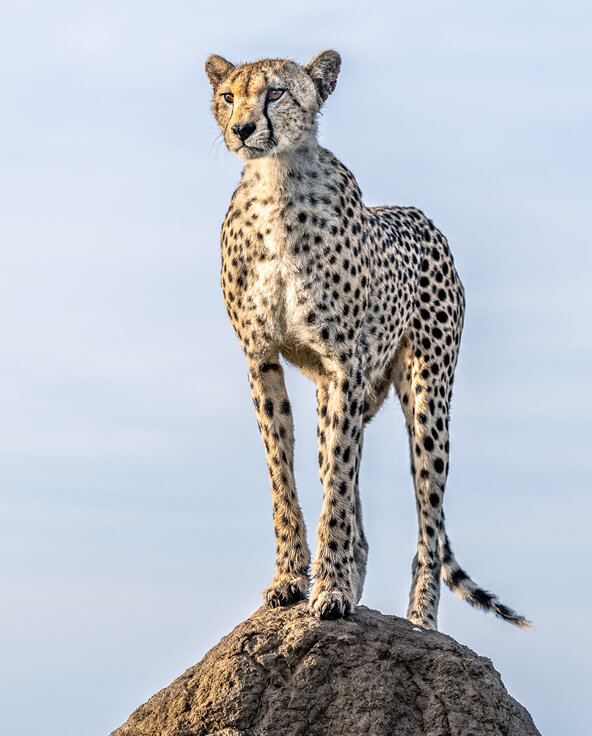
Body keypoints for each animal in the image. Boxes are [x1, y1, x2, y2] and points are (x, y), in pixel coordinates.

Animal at [205, 49, 530, 630]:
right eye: (229, 96)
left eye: (276, 93)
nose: (241, 129)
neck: (276, 184)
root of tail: (419, 214)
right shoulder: (262, 358)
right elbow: (283, 476)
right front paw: (291, 580)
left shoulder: (346, 365)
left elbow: (337, 488)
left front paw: (330, 591)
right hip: (332, 398)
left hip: (427, 397)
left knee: (429, 522)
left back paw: (420, 620)